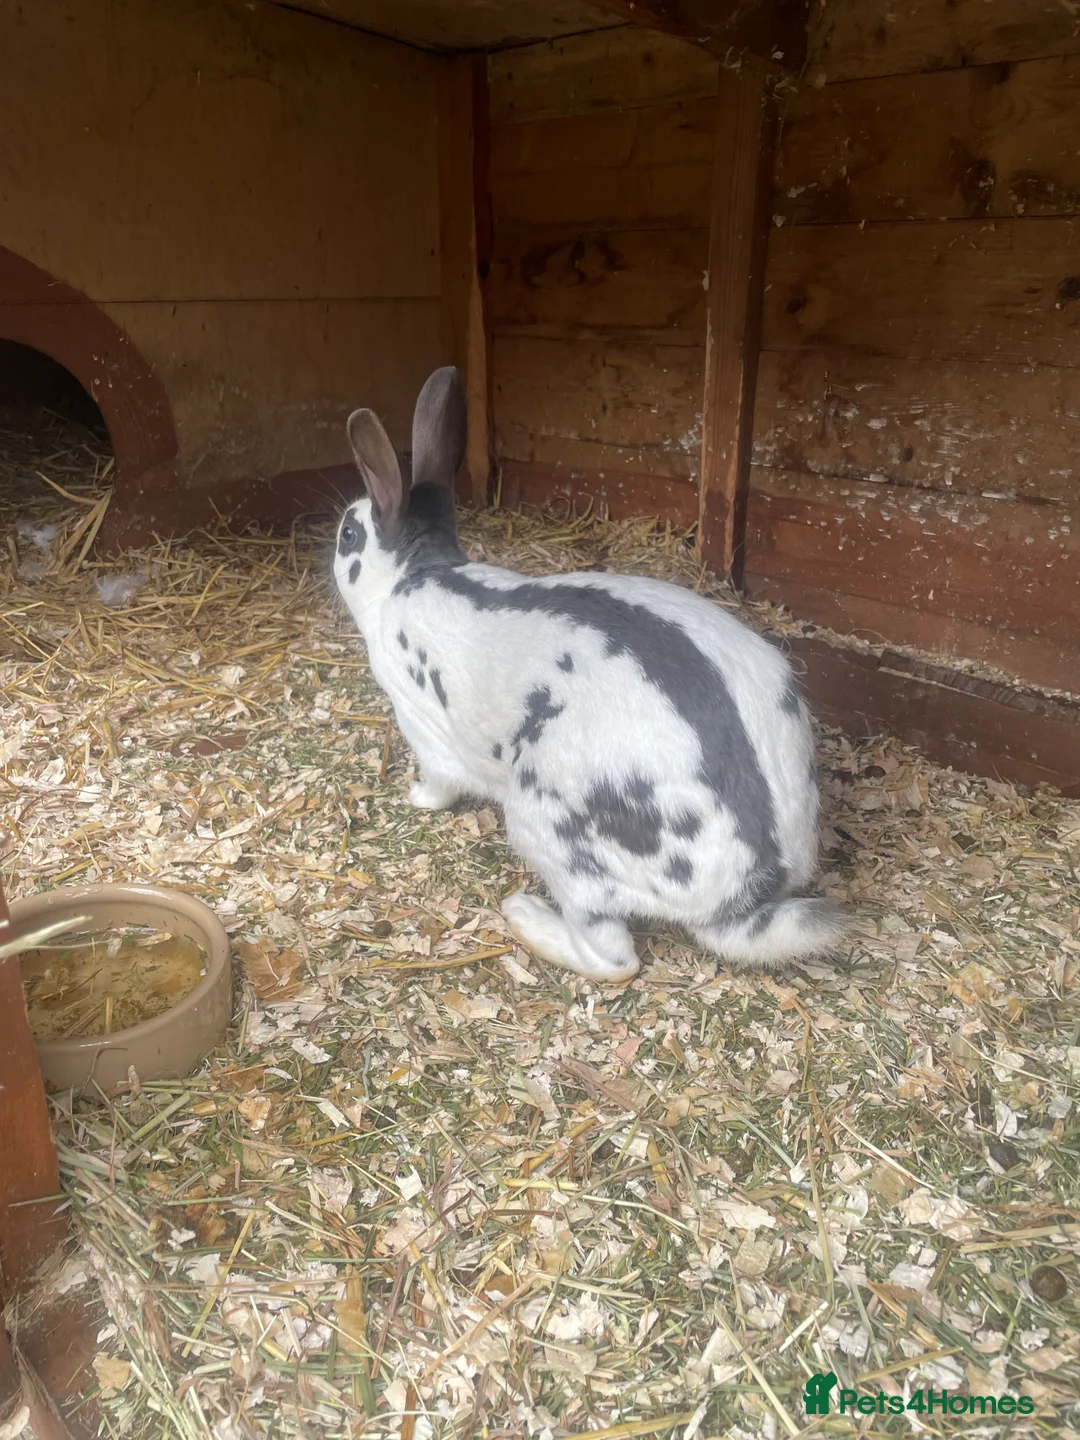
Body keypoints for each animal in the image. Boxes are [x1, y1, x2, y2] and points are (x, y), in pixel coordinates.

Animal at [333, 366, 847, 982]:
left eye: (348, 534)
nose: (330, 543)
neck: (410, 577)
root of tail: (744, 898)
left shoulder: (425, 733)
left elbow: (439, 783)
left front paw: (416, 797)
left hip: (549, 833)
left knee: (614, 957)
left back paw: (525, 914)